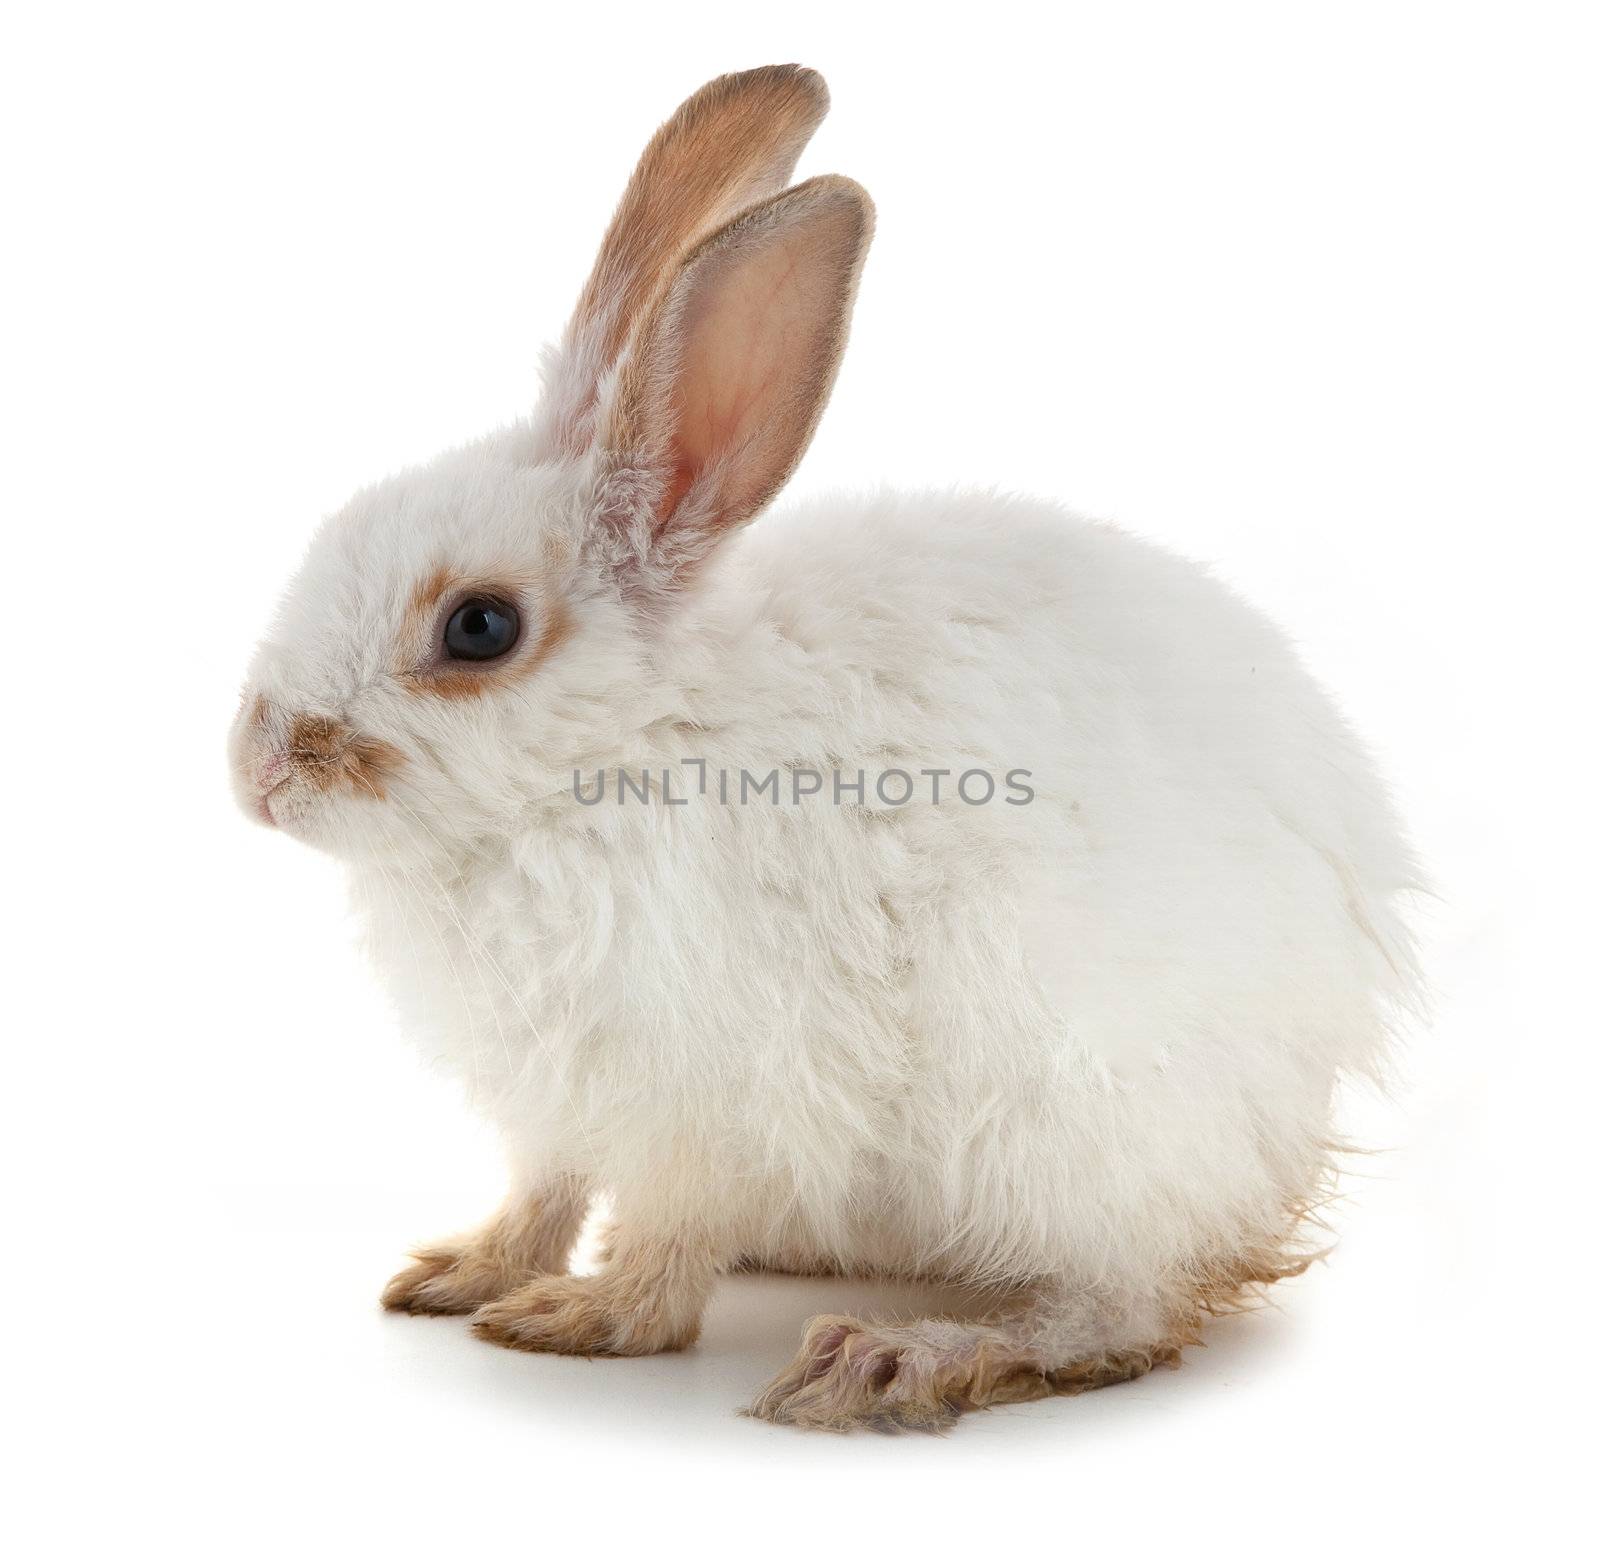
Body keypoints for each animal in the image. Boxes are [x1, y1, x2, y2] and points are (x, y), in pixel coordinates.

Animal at [232, 64, 1420, 1427]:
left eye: (478, 627)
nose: (255, 770)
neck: (628, 742)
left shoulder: (713, 1089)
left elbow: (665, 1231)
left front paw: (584, 1316)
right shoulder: (557, 1100)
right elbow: (543, 1190)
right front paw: (460, 1270)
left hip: (1077, 1125)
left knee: (1124, 1306)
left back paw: (900, 1353)